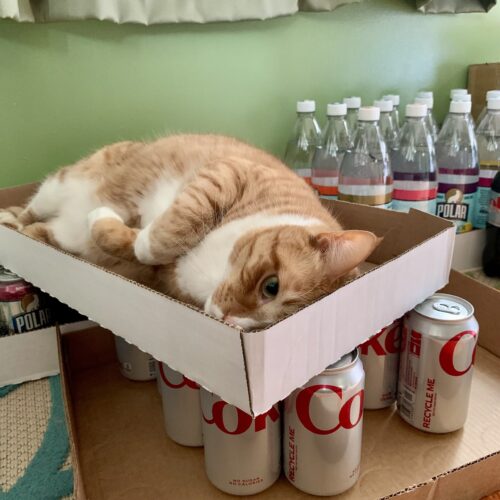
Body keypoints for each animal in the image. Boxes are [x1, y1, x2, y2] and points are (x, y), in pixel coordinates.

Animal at [0, 134, 378, 328]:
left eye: (266, 327)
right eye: (271, 286)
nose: (230, 319)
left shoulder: (157, 275)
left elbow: (124, 243)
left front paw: (108, 223)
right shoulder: (228, 173)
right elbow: (170, 230)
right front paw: (127, 224)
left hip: (59, 234)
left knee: (43, 230)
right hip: (58, 186)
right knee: (32, 209)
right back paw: (11, 219)